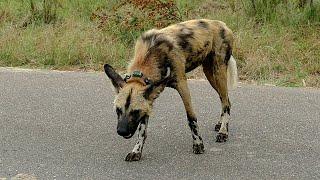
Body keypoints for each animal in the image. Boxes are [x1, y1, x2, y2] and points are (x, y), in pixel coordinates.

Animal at [104, 19, 236, 161]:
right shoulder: (149, 99)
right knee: (225, 99)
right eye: (118, 110)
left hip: (218, 71)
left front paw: (198, 144)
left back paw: (223, 131)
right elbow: (142, 131)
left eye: (135, 112)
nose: (121, 131)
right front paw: (136, 151)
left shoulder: (182, 85)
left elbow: (191, 119)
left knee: (226, 102)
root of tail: (222, 24)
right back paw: (220, 124)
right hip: (210, 74)